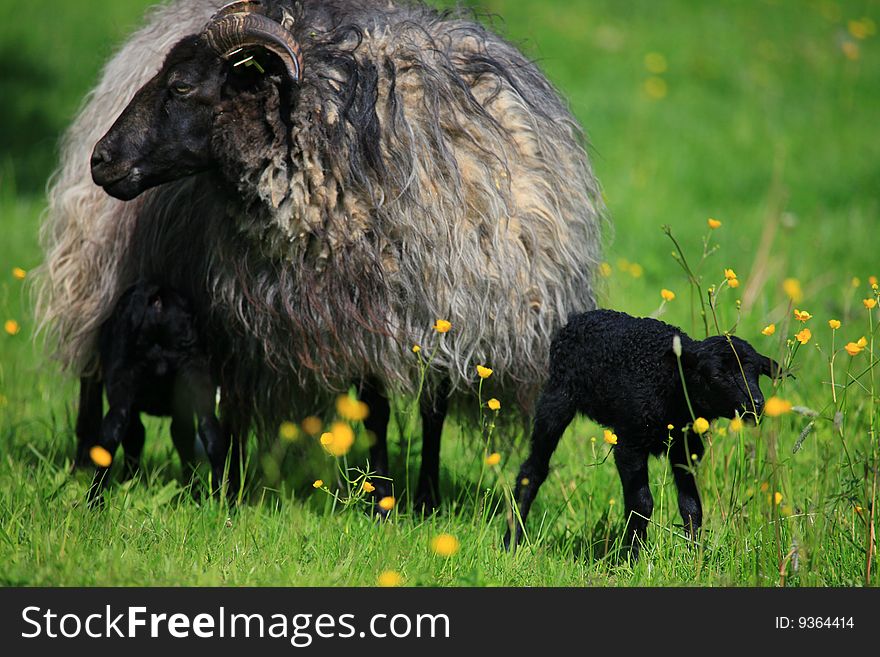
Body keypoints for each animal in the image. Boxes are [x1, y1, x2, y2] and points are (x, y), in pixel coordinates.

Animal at [76, 280, 227, 502]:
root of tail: (157, 296)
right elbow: (180, 438)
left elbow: (137, 437)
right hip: (192, 375)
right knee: (210, 432)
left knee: (113, 432)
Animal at [506, 310, 780, 556]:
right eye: (716, 374)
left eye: (757, 372)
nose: (756, 405)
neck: (669, 384)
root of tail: (579, 317)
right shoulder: (629, 443)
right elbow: (641, 504)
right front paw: (633, 557)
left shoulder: (685, 447)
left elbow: (691, 505)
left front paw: (695, 556)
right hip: (557, 398)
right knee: (532, 470)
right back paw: (512, 542)